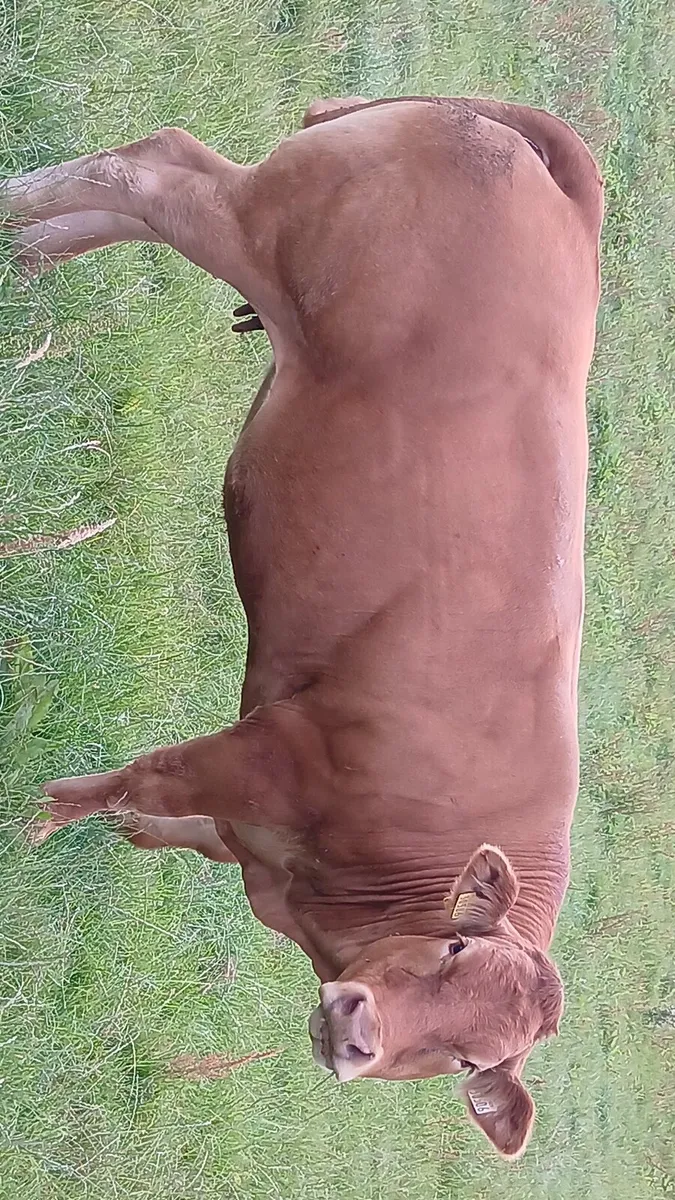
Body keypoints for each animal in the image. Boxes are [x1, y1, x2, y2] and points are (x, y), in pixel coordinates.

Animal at [2, 95, 603, 1158]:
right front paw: (29, 826)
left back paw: (25, 251)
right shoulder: (257, 752)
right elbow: (118, 785)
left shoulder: (239, 827)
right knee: (152, 170)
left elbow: (140, 820)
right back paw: (18, 220)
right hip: (264, 232)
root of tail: (562, 188)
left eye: (469, 1061)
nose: (357, 1030)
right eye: (453, 946)